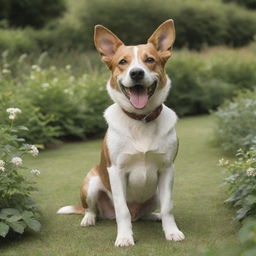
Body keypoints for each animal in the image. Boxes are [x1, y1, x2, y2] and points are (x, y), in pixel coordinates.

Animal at [57, 19, 184, 247]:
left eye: (150, 60)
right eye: (123, 62)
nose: (136, 73)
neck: (141, 120)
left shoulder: (167, 169)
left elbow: (169, 206)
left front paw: (171, 231)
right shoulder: (116, 171)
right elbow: (122, 210)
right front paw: (124, 237)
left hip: (156, 192)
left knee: (146, 213)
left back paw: (154, 216)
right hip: (92, 184)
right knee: (95, 209)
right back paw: (89, 218)